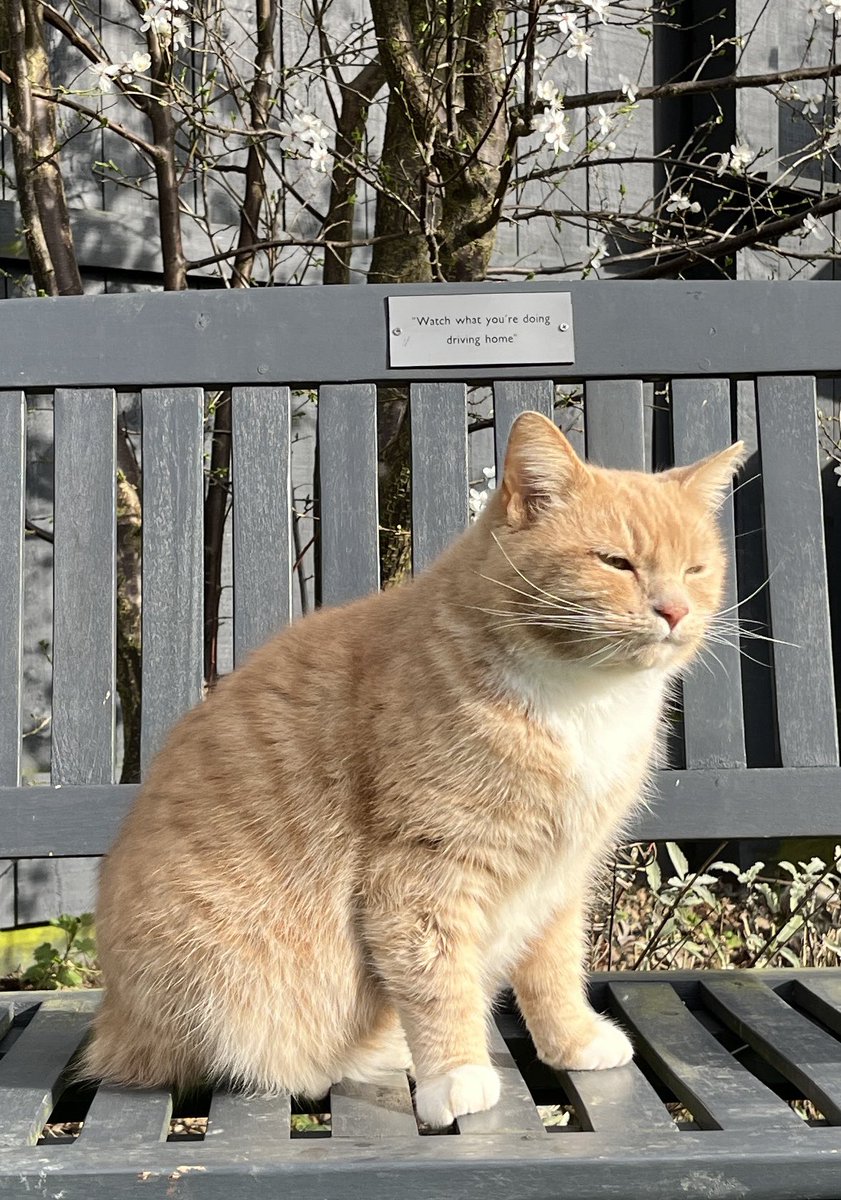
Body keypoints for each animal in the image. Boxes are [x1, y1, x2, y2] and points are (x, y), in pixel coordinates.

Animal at [85, 410, 739, 1123]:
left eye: (695, 569)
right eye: (616, 562)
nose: (675, 610)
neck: (583, 698)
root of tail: (113, 1026)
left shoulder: (559, 875)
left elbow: (555, 970)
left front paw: (573, 1042)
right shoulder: (425, 873)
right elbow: (437, 978)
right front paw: (456, 1074)